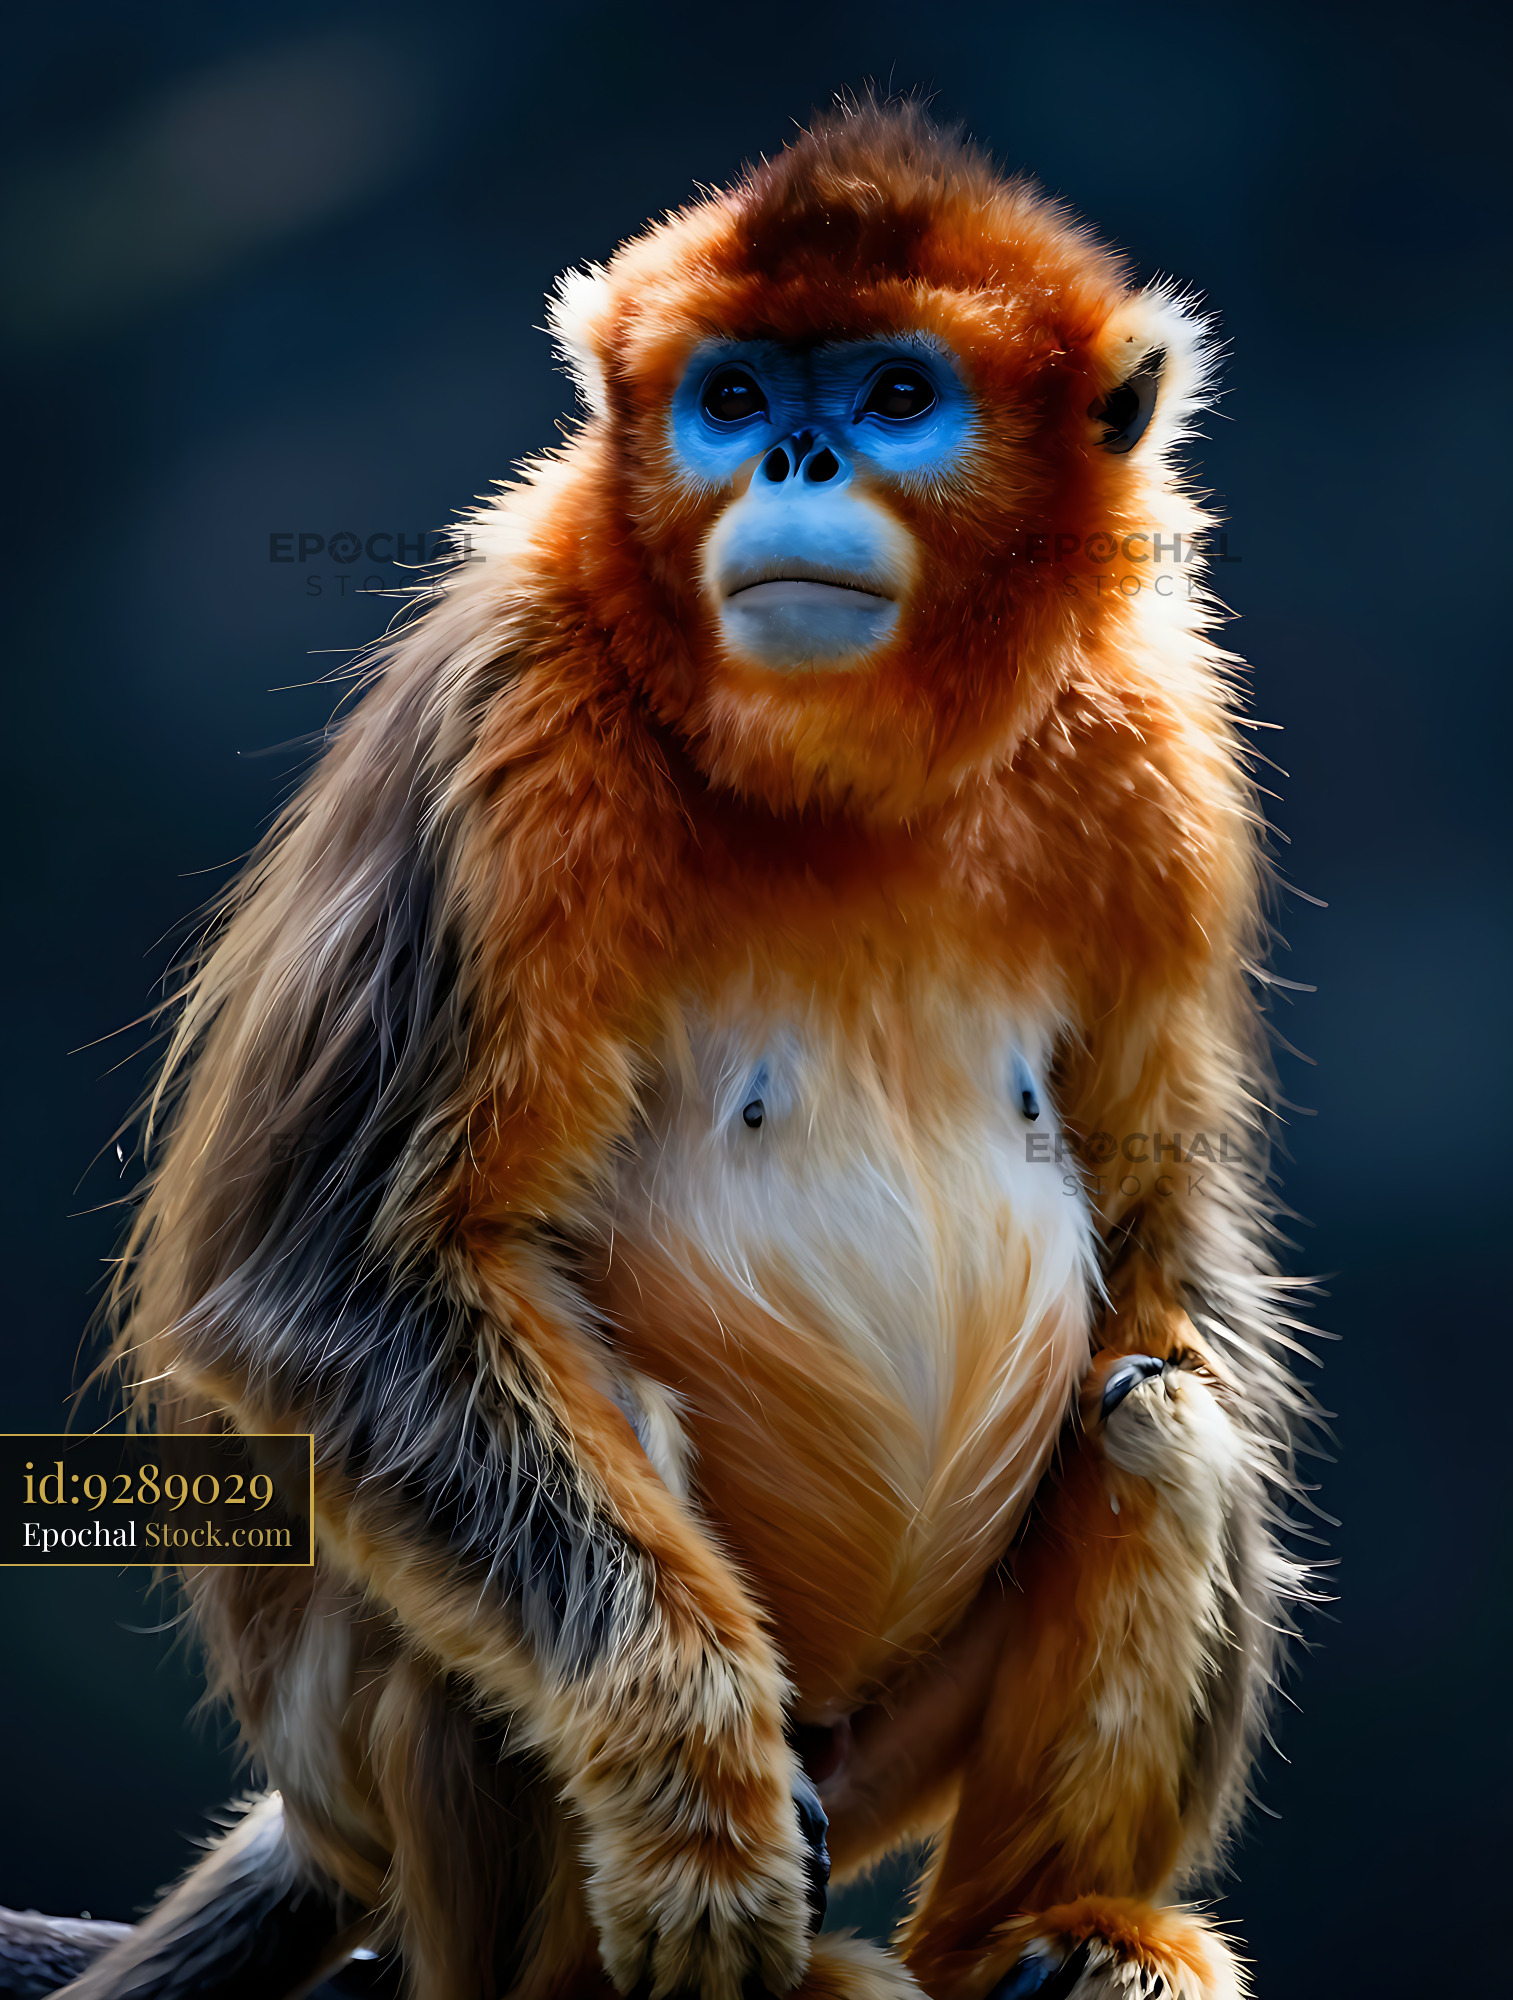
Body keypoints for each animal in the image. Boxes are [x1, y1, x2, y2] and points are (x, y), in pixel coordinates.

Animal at [59, 100, 1310, 2000]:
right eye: (728, 394)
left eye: (894, 394)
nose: (793, 452)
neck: (839, 774)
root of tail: (324, 1814)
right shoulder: (511, 699)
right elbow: (316, 1287)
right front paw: (693, 1806)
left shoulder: (1153, 743)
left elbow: (1173, 1260)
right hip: (390, 1739)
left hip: (874, 1759)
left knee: (1157, 1412)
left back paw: (1043, 1932)